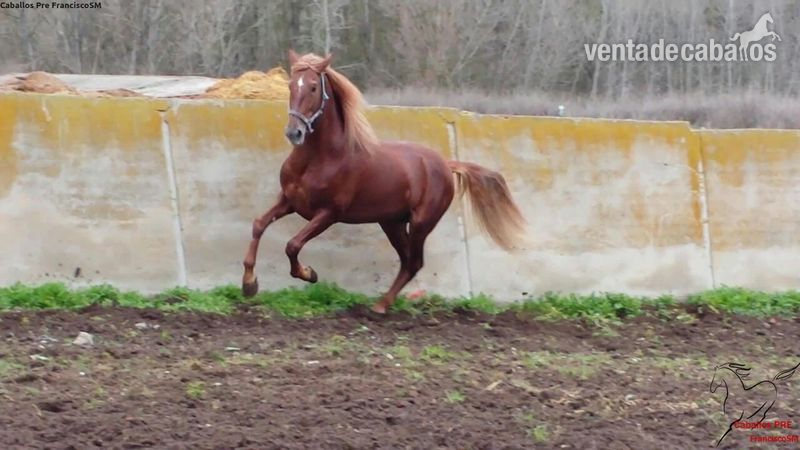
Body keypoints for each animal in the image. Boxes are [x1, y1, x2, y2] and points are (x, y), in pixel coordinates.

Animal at [240, 50, 526, 314]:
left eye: (312, 87)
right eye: (290, 85)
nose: (294, 132)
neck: (319, 158)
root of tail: (446, 164)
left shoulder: (328, 213)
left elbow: (293, 244)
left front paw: (309, 273)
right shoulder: (289, 200)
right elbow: (258, 225)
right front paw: (249, 284)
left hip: (421, 223)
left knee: (414, 263)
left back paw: (381, 305)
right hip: (392, 223)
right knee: (407, 261)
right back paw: (382, 304)